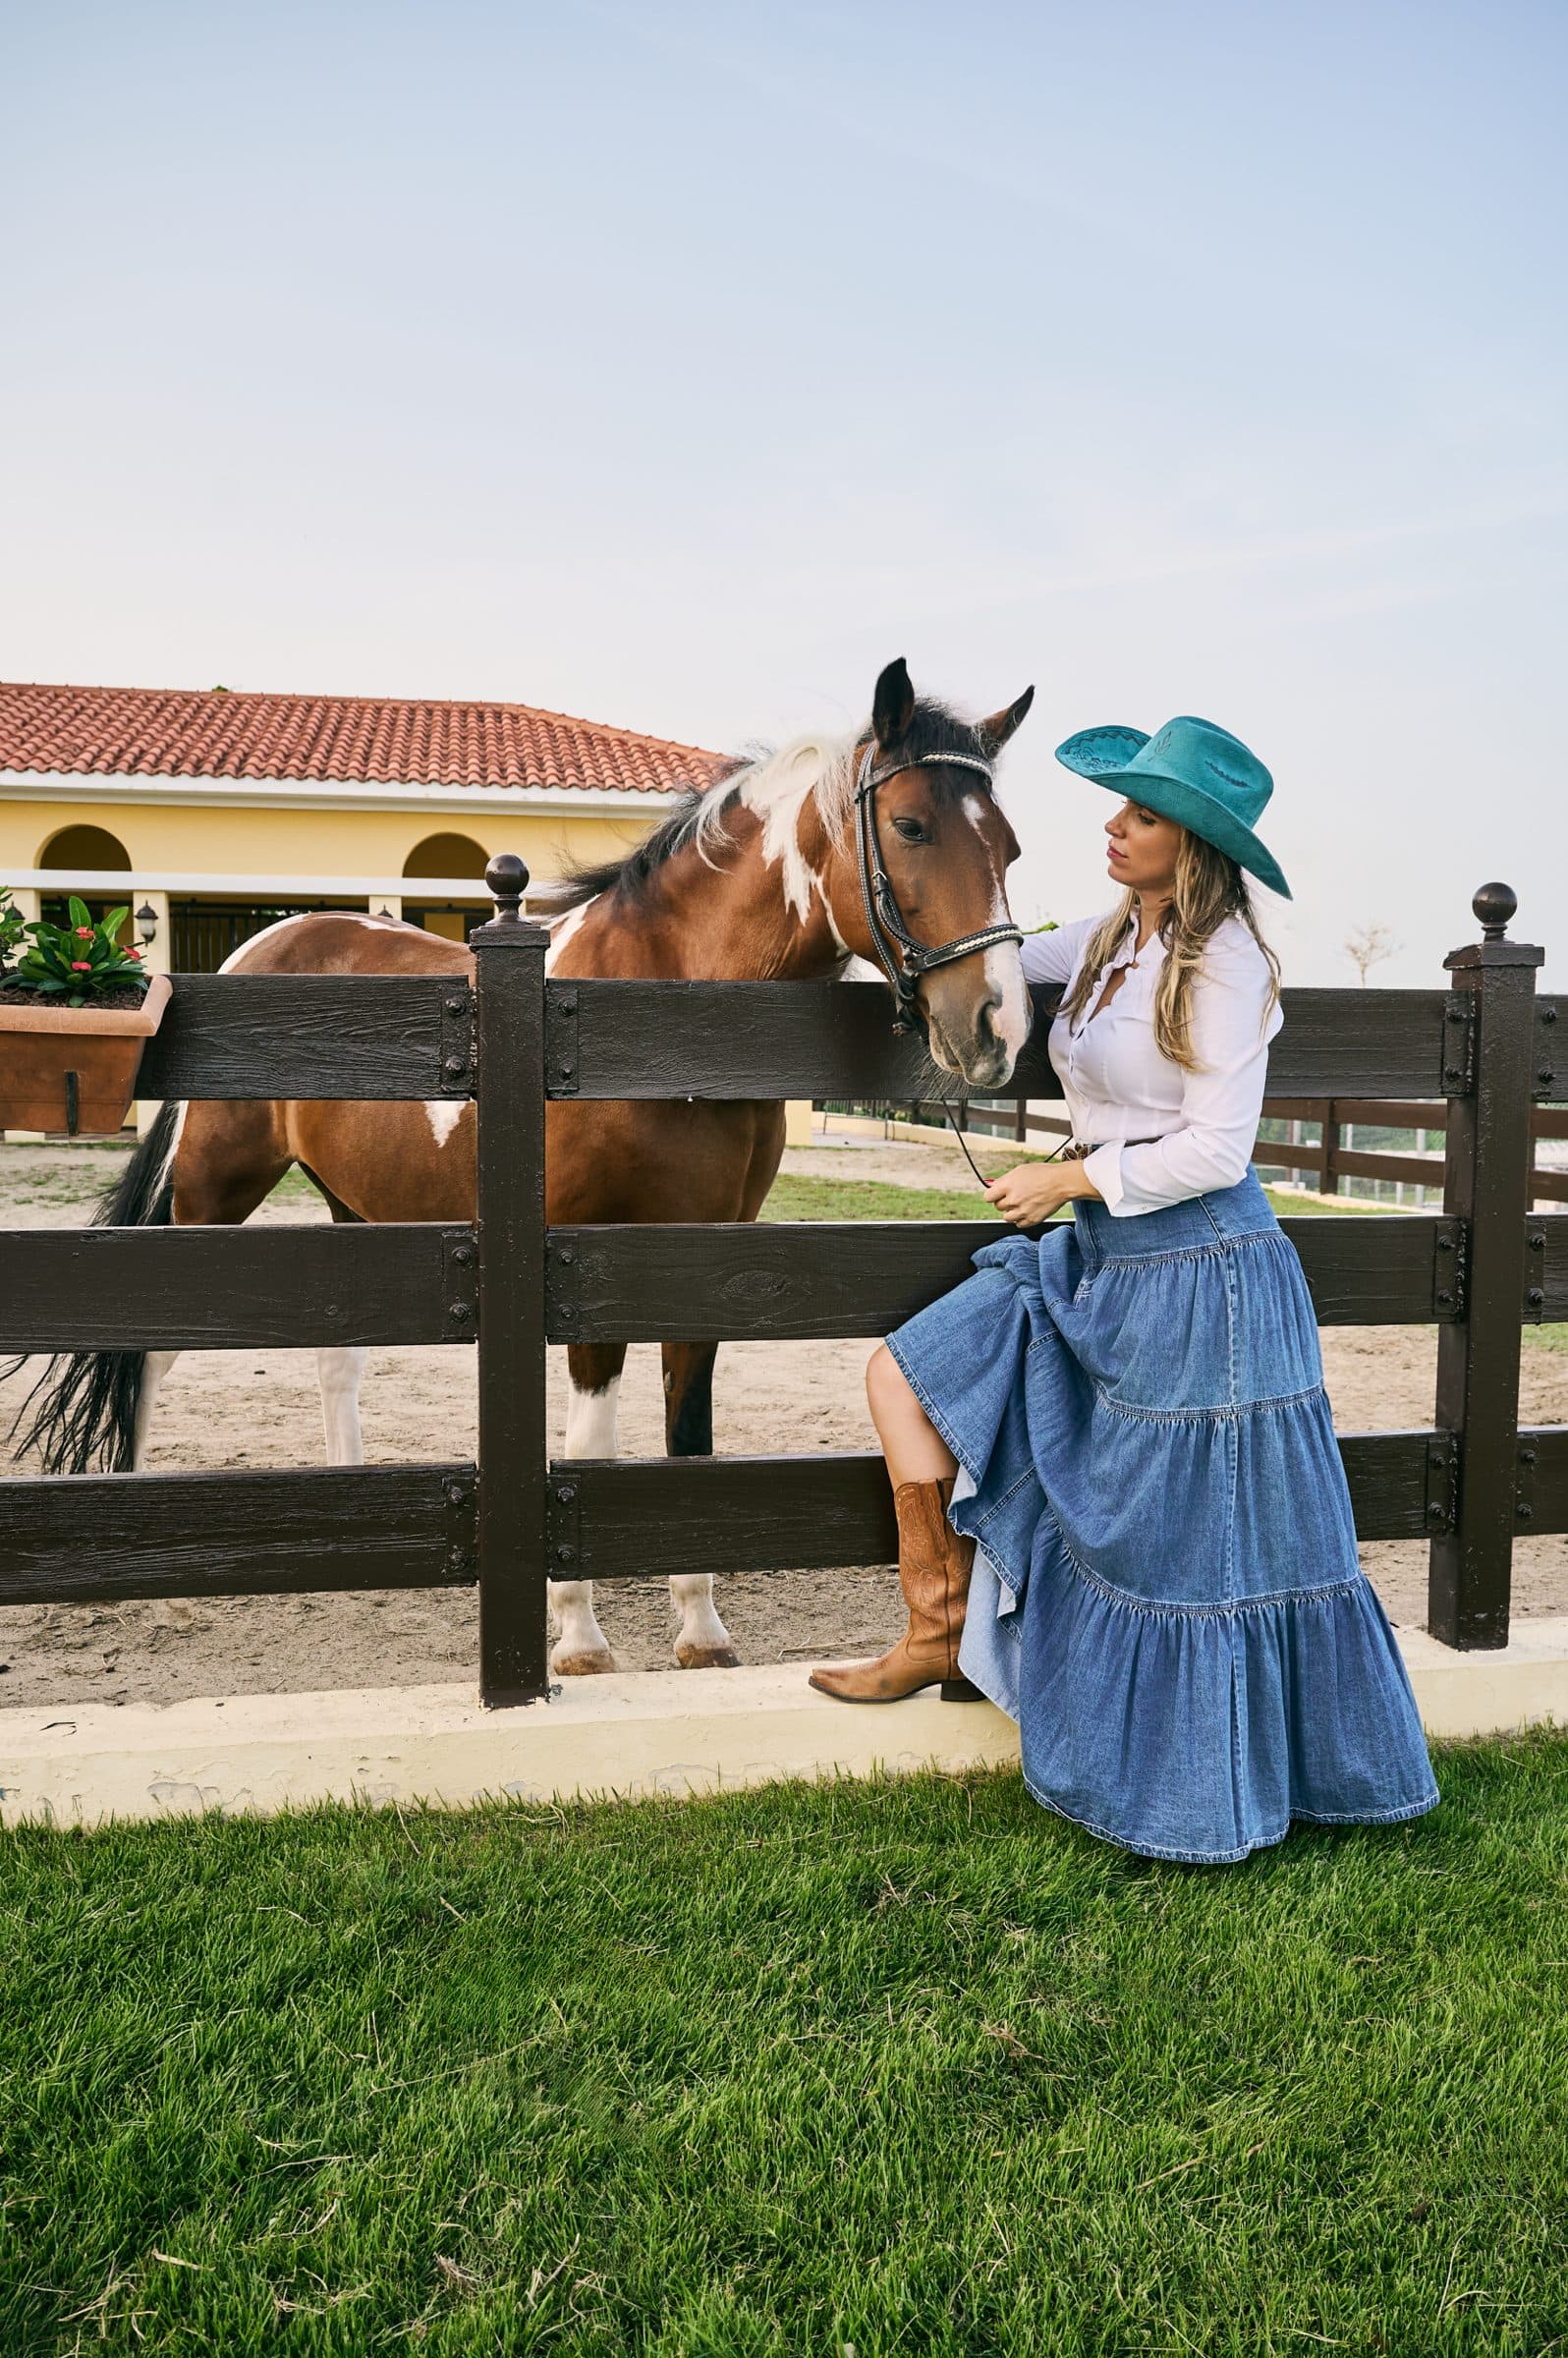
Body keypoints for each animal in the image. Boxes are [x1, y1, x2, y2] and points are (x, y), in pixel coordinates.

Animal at [7, 657, 1035, 1676]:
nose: (998, 1029)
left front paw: (701, 1632)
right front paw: (579, 1641)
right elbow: (590, 1444)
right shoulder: (583, 1263)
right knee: (152, 1355)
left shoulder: (703, 1257)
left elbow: (689, 1434)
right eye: (910, 826)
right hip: (211, 1200)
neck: (658, 1011)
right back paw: (163, 1584)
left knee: (336, 1357)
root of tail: (263, 945)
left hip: (351, 1211)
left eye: (1012, 848)